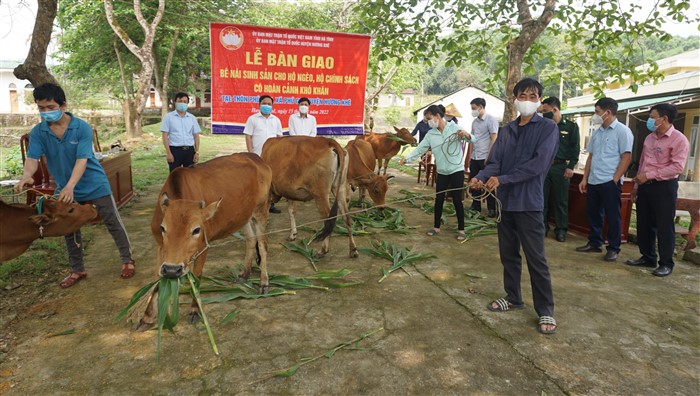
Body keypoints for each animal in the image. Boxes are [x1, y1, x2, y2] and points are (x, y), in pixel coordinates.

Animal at [137, 153, 270, 330]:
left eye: (196, 230)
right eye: (163, 228)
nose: (173, 270)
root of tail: (256, 158)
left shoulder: (203, 247)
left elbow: (197, 276)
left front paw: (195, 310)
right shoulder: (160, 247)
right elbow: (158, 280)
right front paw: (146, 317)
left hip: (261, 210)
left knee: (262, 245)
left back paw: (264, 282)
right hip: (243, 217)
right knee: (250, 239)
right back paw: (244, 274)